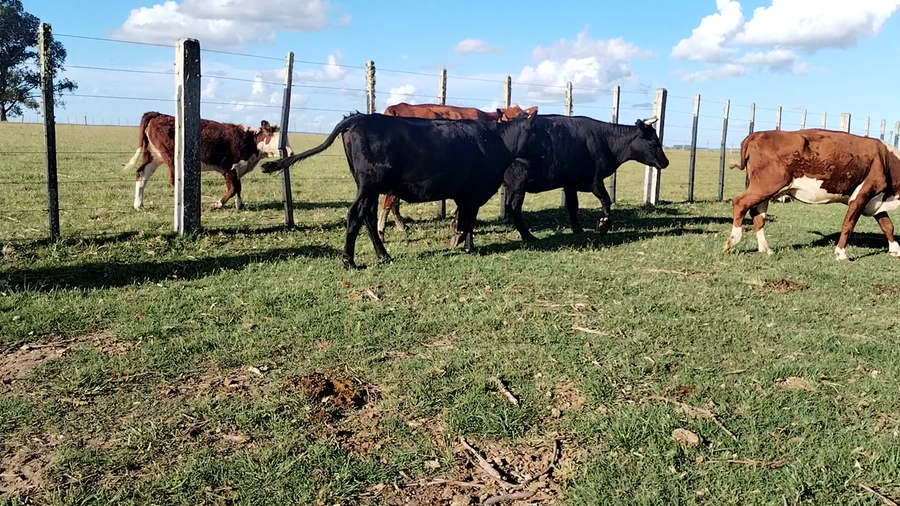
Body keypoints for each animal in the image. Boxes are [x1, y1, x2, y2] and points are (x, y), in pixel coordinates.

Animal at [125, 111, 292, 211]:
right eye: (279, 141)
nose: (290, 152)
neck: (250, 140)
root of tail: (157, 115)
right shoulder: (229, 168)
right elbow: (232, 189)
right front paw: (216, 204)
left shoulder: (238, 169)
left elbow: (238, 188)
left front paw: (239, 204)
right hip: (171, 158)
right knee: (173, 179)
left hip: (153, 156)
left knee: (142, 174)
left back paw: (138, 204)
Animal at [502, 115, 670, 242]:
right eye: (654, 142)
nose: (666, 162)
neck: (604, 140)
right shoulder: (595, 181)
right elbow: (606, 200)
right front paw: (604, 225)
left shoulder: (570, 183)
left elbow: (573, 206)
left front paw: (577, 229)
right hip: (517, 185)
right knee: (515, 208)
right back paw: (528, 236)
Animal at [723, 129, 900, 261]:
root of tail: (757, 134)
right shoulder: (862, 194)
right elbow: (848, 224)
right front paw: (841, 253)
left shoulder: (876, 199)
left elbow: (887, 225)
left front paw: (895, 249)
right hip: (766, 185)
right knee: (740, 203)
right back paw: (733, 240)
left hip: (765, 189)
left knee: (757, 214)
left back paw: (765, 248)